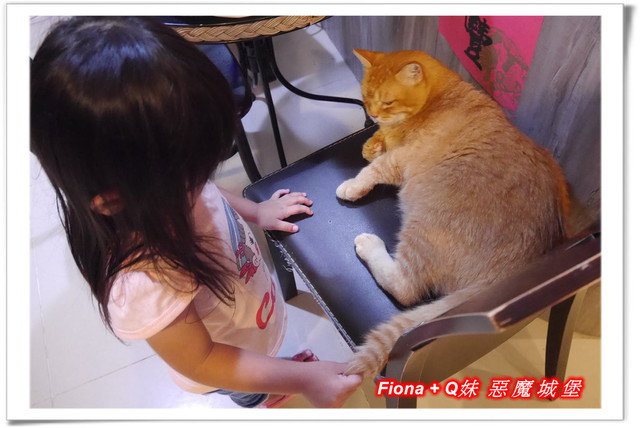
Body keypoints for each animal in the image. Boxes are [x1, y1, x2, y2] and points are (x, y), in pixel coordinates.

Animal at [336, 49, 570, 378]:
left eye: (388, 101)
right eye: (366, 98)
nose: (374, 115)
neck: (438, 101)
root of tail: (514, 271)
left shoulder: (402, 159)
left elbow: (373, 169)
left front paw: (353, 184)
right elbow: (374, 150)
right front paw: (373, 142)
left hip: (422, 227)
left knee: (405, 288)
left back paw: (370, 245)